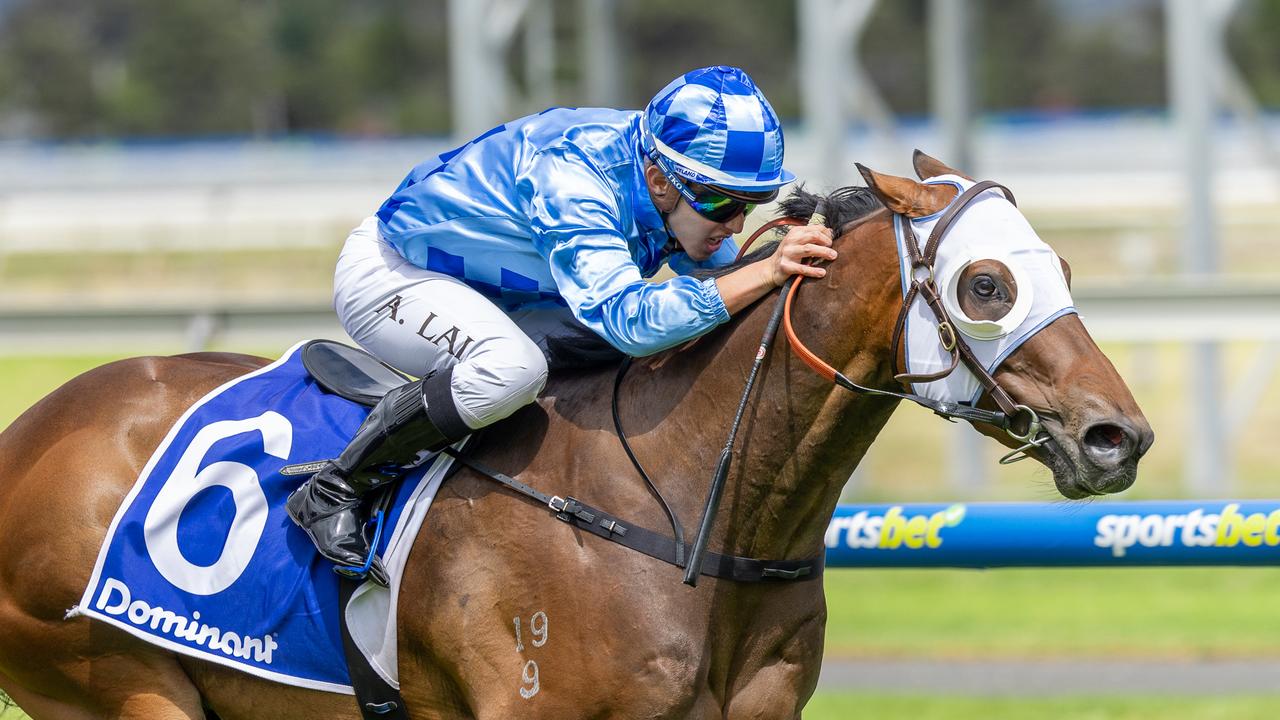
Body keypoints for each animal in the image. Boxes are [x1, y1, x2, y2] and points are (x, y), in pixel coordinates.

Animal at [0, 152, 1152, 717]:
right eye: (987, 284)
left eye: (1058, 267)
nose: (1117, 437)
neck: (686, 515)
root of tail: (30, 431)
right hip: (117, 685)